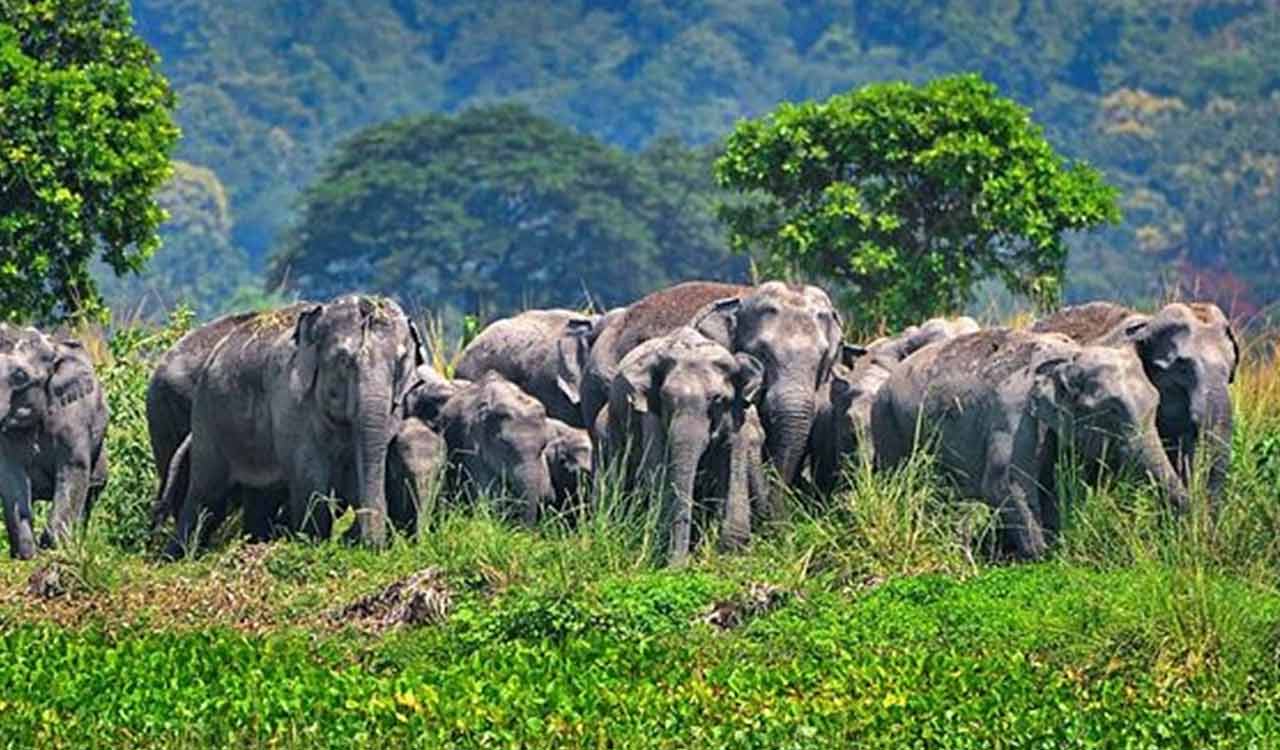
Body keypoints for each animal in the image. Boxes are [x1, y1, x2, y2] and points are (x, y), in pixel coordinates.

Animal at [0, 326, 109, 559]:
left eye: (20, 376)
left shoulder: (73, 415)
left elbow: (73, 468)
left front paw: (54, 549)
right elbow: (11, 477)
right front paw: (26, 555)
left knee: (91, 493)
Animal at [164, 295, 424, 558]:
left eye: (401, 362)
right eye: (343, 360)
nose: (372, 548)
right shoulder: (290, 399)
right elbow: (310, 475)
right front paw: (314, 545)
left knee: (260, 496)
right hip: (208, 416)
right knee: (207, 495)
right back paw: (176, 557)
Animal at [600, 327, 765, 565]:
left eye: (717, 399)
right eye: (665, 398)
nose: (677, 567)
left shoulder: (738, 414)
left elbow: (733, 459)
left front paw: (730, 552)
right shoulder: (650, 413)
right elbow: (659, 467)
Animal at [871, 328, 1191, 560]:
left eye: (1156, 403)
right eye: (1111, 411)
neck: (1071, 358)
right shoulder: (1015, 419)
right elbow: (1004, 486)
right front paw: (1043, 556)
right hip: (888, 422)